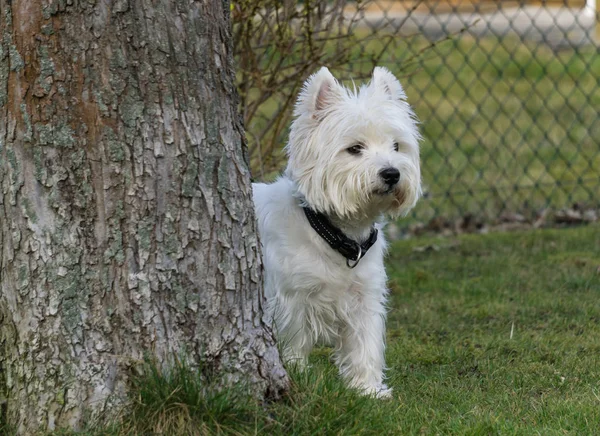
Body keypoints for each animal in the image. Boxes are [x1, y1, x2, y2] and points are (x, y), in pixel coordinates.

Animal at [253, 66, 422, 396]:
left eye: (397, 146)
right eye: (354, 149)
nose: (392, 173)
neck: (335, 235)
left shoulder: (364, 296)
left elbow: (364, 343)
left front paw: (368, 389)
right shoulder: (289, 299)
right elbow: (294, 342)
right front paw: (296, 373)